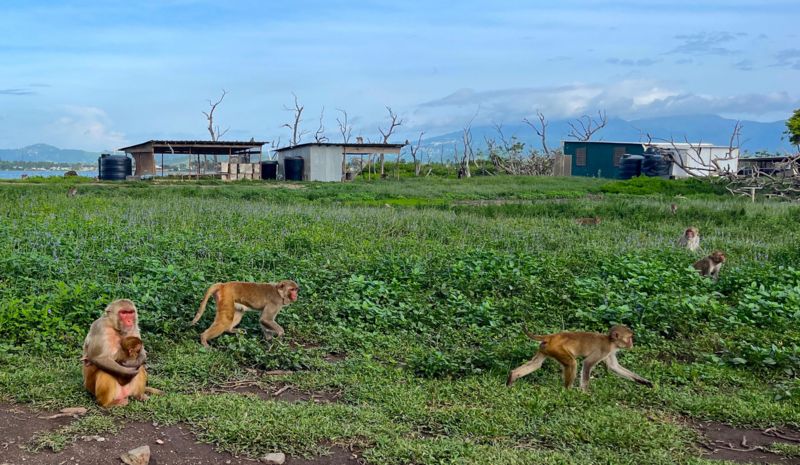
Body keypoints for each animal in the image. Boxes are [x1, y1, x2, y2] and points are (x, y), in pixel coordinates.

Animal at [510, 324, 652, 390]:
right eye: (629, 338)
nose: (632, 344)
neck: (610, 342)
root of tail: (552, 336)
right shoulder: (604, 350)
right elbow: (587, 363)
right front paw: (584, 393)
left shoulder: (610, 352)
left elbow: (614, 367)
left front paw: (644, 381)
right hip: (556, 348)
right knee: (572, 363)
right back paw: (567, 391)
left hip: (545, 348)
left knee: (536, 364)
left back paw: (512, 376)